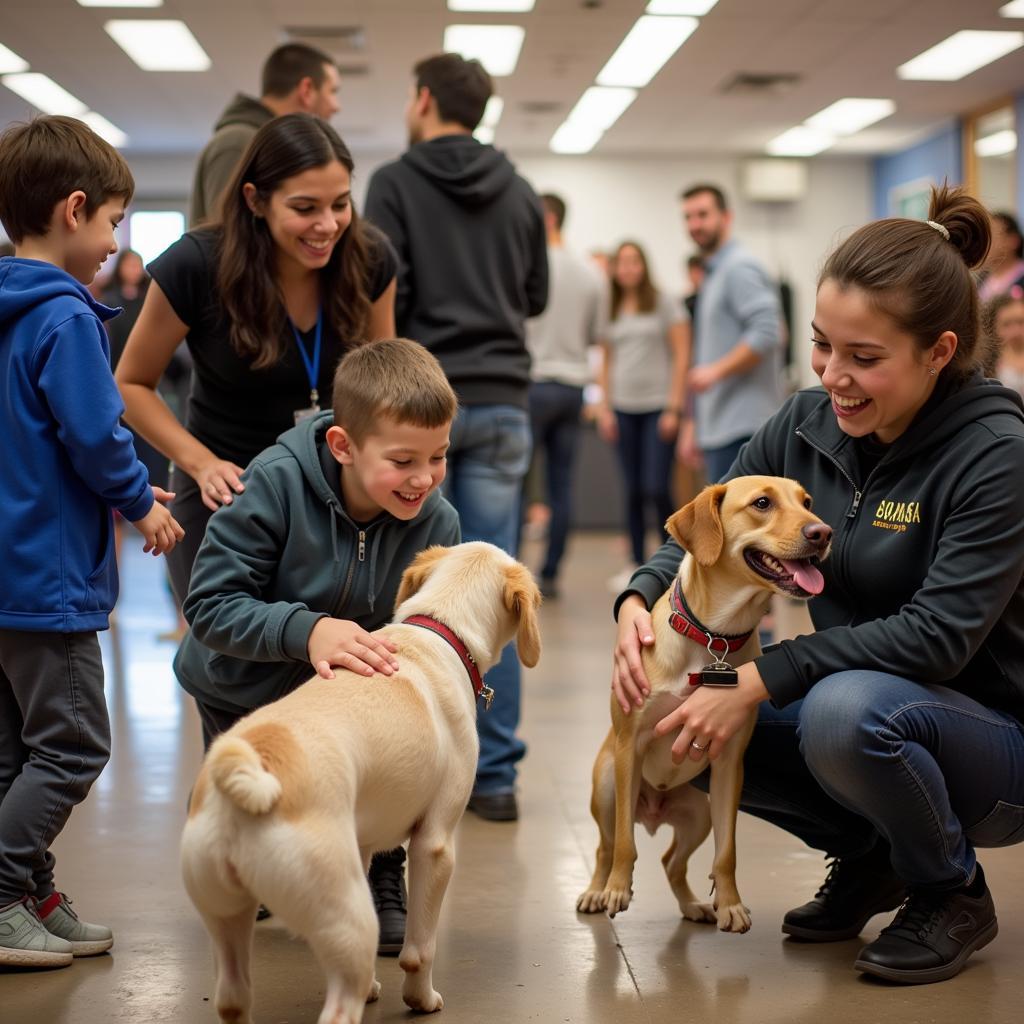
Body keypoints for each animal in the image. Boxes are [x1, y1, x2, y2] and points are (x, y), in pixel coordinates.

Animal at [181, 544, 544, 1024]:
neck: (439, 631)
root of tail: (249, 771)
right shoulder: (435, 845)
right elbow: (419, 951)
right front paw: (420, 999)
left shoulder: (365, 844)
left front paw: (376, 987)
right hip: (346, 917)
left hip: (225, 917)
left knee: (232, 998)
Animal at [577, 475, 831, 933]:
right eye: (762, 503)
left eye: (806, 502)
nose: (822, 532)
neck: (714, 635)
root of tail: (654, 810)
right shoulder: (629, 748)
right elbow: (624, 845)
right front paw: (618, 890)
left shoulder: (729, 763)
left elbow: (726, 852)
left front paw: (730, 904)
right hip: (606, 788)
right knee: (607, 845)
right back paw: (596, 890)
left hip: (697, 814)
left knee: (671, 862)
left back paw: (694, 905)